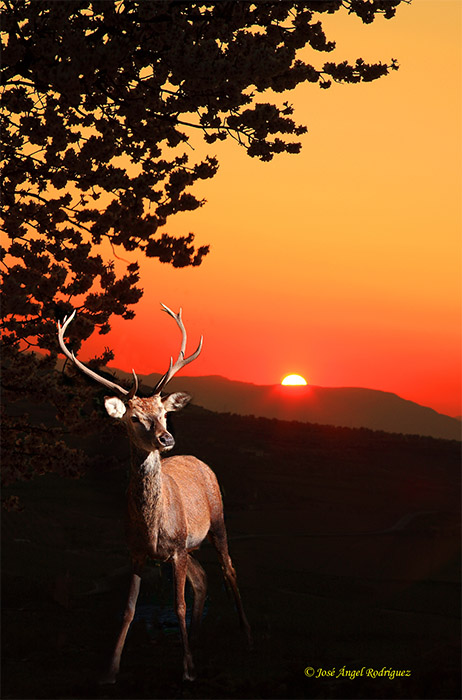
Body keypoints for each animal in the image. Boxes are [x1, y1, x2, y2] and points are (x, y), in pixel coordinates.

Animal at [58, 304, 253, 680]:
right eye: (134, 418)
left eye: (163, 413)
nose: (166, 438)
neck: (154, 527)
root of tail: (200, 461)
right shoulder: (137, 551)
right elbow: (129, 609)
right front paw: (111, 669)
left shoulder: (175, 546)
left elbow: (178, 604)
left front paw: (187, 670)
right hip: (190, 545)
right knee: (202, 578)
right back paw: (197, 636)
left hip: (217, 519)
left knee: (228, 569)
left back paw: (246, 632)